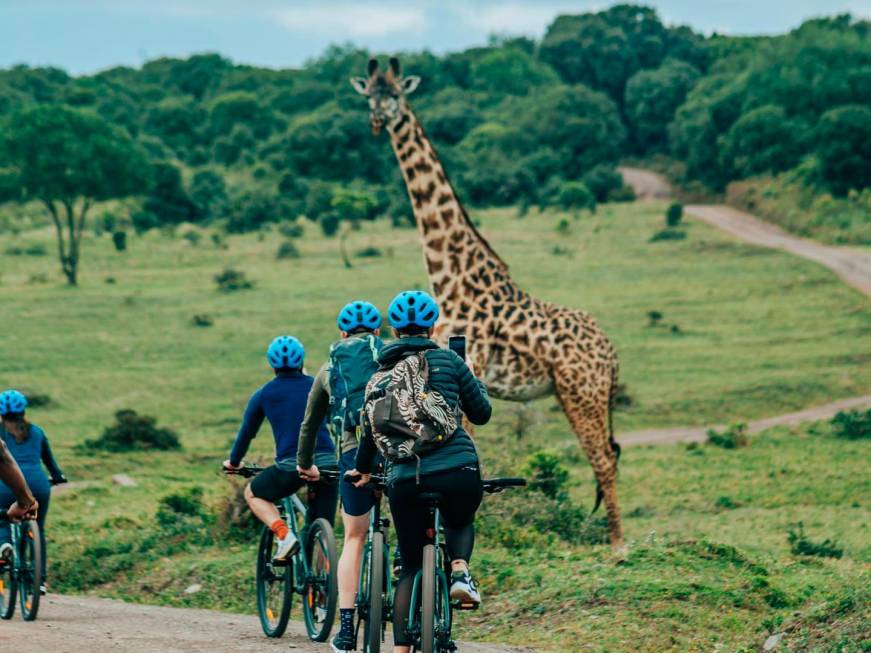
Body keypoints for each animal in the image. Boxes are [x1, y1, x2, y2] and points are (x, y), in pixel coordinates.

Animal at [352, 58, 628, 552]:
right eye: (370, 95)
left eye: (397, 94)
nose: (379, 119)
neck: (452, 274)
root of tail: (610, 352)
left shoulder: (467, 369)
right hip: (585, 395)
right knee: (608, 455)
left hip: (583, 394)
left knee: (603, 458)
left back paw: (618, 545)